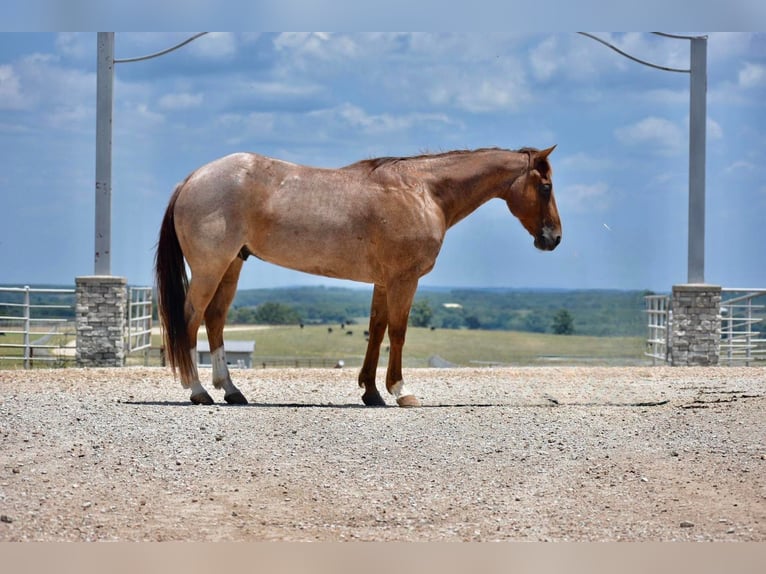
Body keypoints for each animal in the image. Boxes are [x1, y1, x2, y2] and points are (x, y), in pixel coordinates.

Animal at [156, 148, 564, 410]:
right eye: (545, 187)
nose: (554, 238)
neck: (423, 192)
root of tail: (192, 179)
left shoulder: (383, 282)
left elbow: (377, 331)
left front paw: (371, 393)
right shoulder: (403, 280)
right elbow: (397, 333)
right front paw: (400, 391)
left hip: (231, 266)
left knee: (214, 320)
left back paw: (231, 390)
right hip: (210, 268)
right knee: (190, 320)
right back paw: (197, 390)